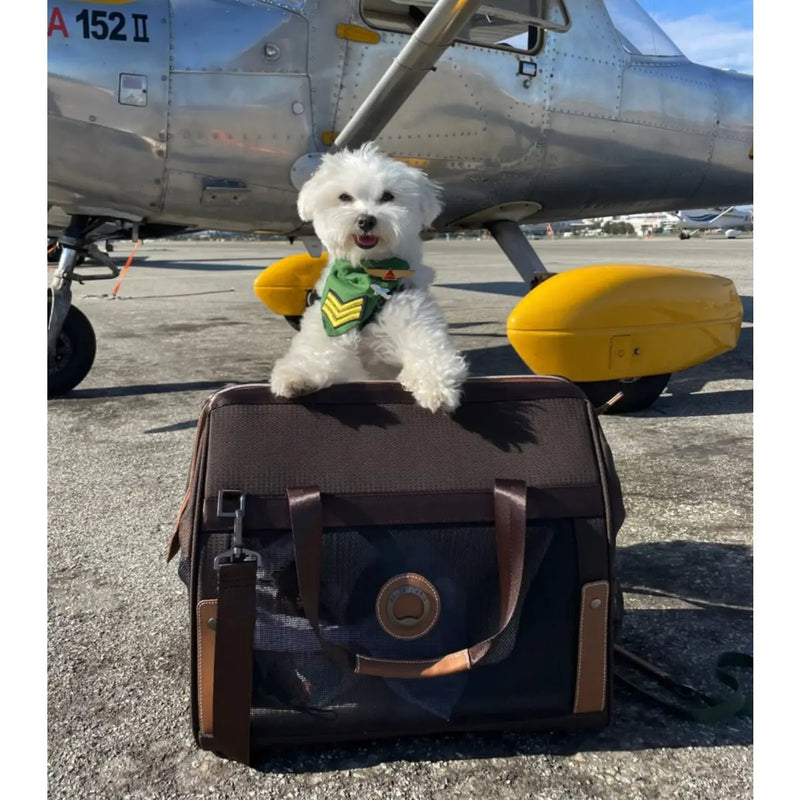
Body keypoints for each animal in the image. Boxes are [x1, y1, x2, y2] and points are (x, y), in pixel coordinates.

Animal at [269, 142, 468, 413]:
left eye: (388, 196)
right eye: (344, 197)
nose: (365, 220)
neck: (367, 277)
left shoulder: (414, 316)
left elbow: (429, 351)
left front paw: (436, 388)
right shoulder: (328, 323)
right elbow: (315, 353)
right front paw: (296, 377)